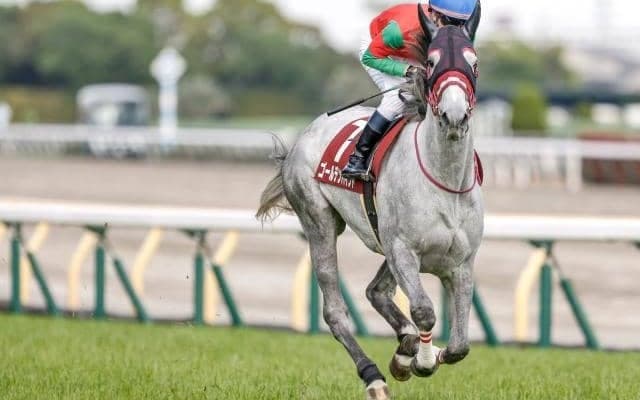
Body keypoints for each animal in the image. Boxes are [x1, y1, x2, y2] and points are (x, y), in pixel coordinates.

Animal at [257, 6, 483, 400]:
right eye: (432, 60)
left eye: (474, 62)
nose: (454, 115)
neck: (445, 180)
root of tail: (304, 136)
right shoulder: (404, 250)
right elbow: (424, 311)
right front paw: (421, 361)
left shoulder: (461, 262)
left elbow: (459, 346)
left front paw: (419, 355)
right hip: (319, 221)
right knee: (335, 310)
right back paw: (374, 376)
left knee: (376, 291)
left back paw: (405, 346)